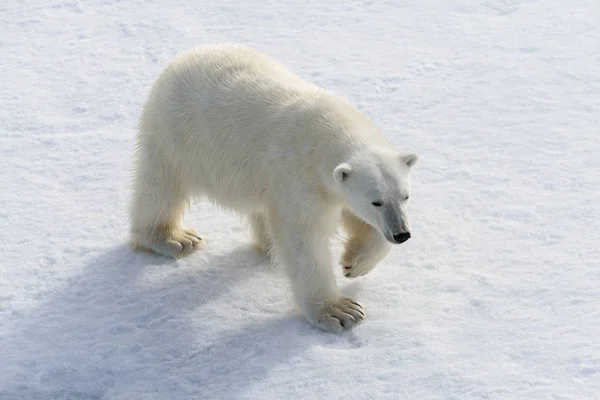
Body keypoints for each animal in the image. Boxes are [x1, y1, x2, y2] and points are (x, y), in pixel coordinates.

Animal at [129, 43, 418, 332]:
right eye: (376, 201)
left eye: (405, 196)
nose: (402, 234)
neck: (325, 130)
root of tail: (185, 56)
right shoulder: (299, 177)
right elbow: (304, 238)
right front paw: (341, 311)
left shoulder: (328, 188)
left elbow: (356, 219)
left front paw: (354, 264)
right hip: (177, 136)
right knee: (161, 188)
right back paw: (174, 238)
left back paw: (267, 246)